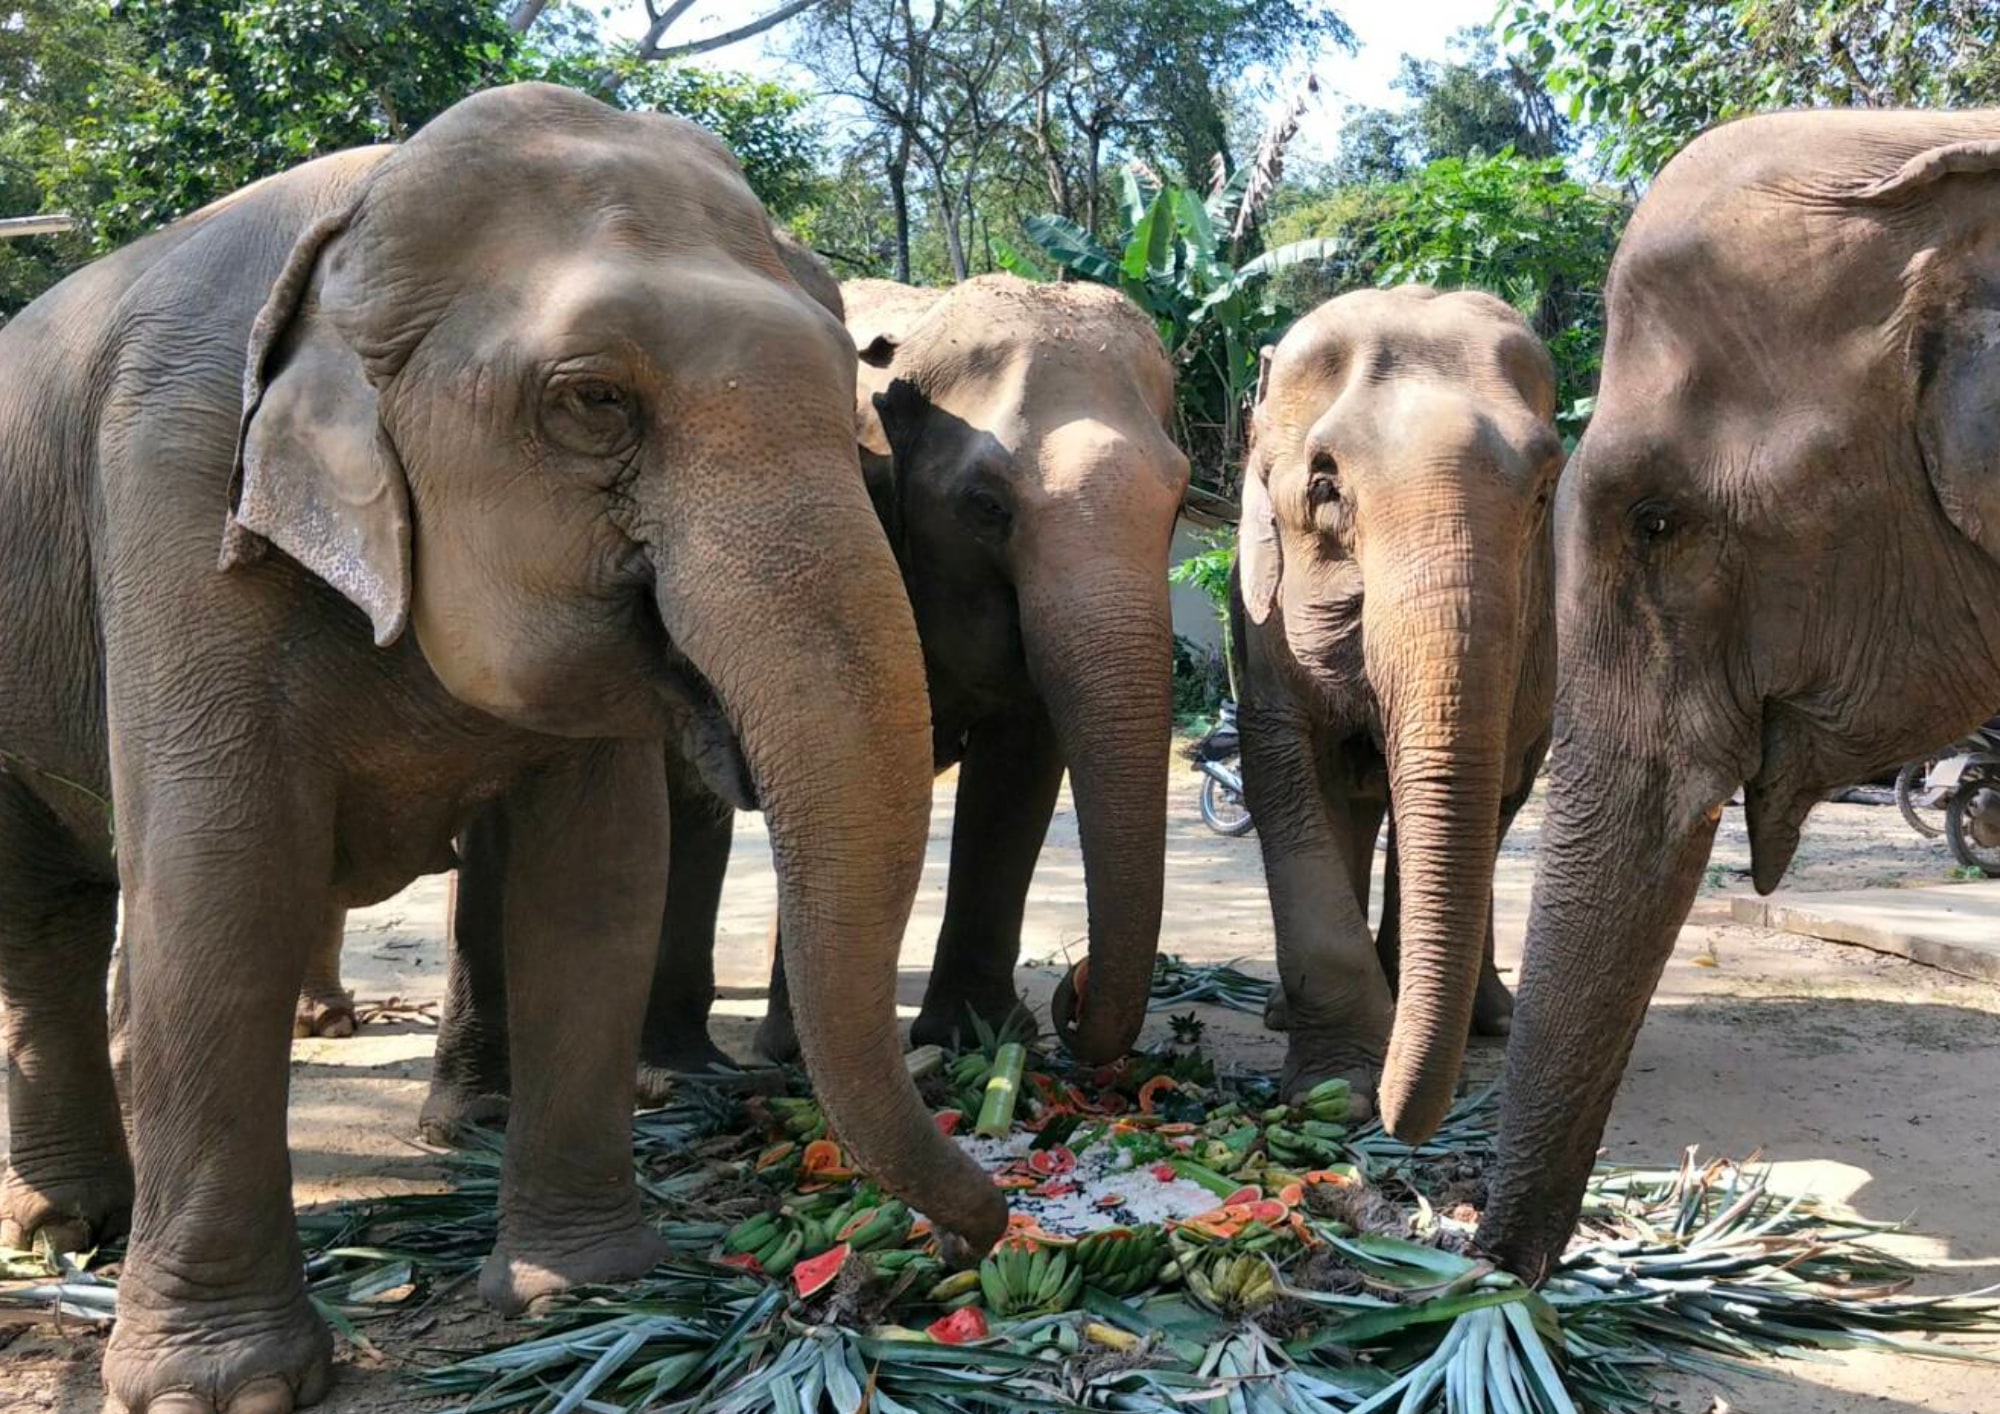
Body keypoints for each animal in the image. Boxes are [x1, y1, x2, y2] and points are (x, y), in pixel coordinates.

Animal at [0, 83, 1004, 1414]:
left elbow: (595, 883)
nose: (964, 1240)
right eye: (595, 400)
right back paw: (64, 1230)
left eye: (852, 399)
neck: (361, 215)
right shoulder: (176, 494)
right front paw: (222, 1390)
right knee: (43, 912)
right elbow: (222, 882)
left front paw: (580, 1292)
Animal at [1232, 286, 1560, 1135]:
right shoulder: (1260, 633)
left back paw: (1490, 1018)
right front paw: (1340, 1090)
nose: (1397, 1123)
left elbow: (1479, 797)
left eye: (1544, 490)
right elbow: (1283, 776)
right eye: (1324, 486)